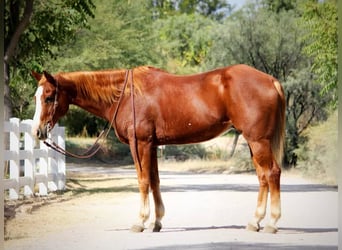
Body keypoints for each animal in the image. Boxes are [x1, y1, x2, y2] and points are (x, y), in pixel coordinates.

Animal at [32, 64, 284, 232]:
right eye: (36, 96)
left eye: (49, 97)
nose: (37, 131)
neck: (126, 95)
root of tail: (271, 81)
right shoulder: (152, 145)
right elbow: (154, 180)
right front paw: (157, 221)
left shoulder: (140, 144)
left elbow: (143, 181)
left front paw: (140, 221)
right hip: (254, 142)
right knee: (263, 177)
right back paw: (255, 222)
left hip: (258, 141)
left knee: (272, 173)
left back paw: (271, 223)